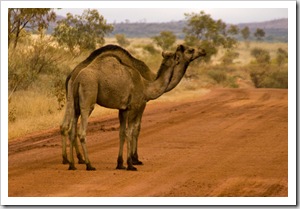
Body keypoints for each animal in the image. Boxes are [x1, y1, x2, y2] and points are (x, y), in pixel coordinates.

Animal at [61, 45, 206, 171]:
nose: (203, 51)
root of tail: (75, 78)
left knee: (70, 129)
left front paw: (120, 163)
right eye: (190, 50)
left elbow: (122, 133)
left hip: (74, 104)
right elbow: (132, 131)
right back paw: (89, 164)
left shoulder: (123, 109)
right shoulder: (136, 106)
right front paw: (132, 163)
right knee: (81, 131)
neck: (147, 85)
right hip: (88, 100)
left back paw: (72, 164)